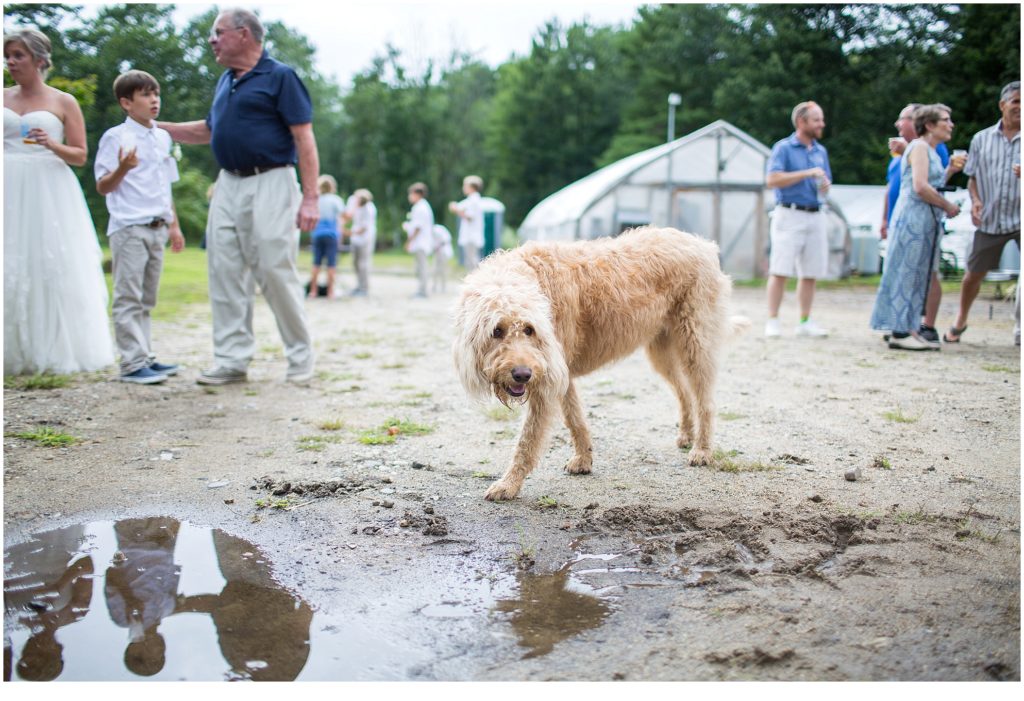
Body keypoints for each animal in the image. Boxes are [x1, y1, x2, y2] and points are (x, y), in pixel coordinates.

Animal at [452, 227, 749, 499]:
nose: (522, 375)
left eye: (529, 329)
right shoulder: (560, 374)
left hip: (695, 344)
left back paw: (702, 450)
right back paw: (687, 436)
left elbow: (528, 440)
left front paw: (508, 484)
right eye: (496, 331)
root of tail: (702, 244)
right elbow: (575, 418)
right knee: (685, 393)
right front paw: (584, 459)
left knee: (705, 401)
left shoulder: (547, 380)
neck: (531, 279)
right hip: (662, 352)